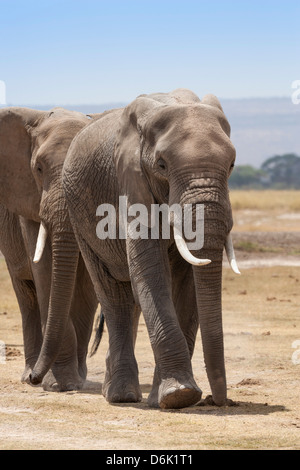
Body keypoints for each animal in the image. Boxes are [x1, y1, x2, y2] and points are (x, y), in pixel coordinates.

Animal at [0, 105, 105, 390]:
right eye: (38, 168)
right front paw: (58, 384)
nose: (35, 378)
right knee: (26, 295)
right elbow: (45, 272)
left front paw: (73, 382)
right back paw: (29, 371)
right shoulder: (28, 198)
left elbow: (86, 285)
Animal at [62, 88, 240, 408]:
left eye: (232, 164)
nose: (219, 401)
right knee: (113, 295)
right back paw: (121, 396)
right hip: (77, 215)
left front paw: (168, 397)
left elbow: (187, 281)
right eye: (162, 166)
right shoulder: (130, 183)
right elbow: (151, 270)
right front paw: (179, 396)